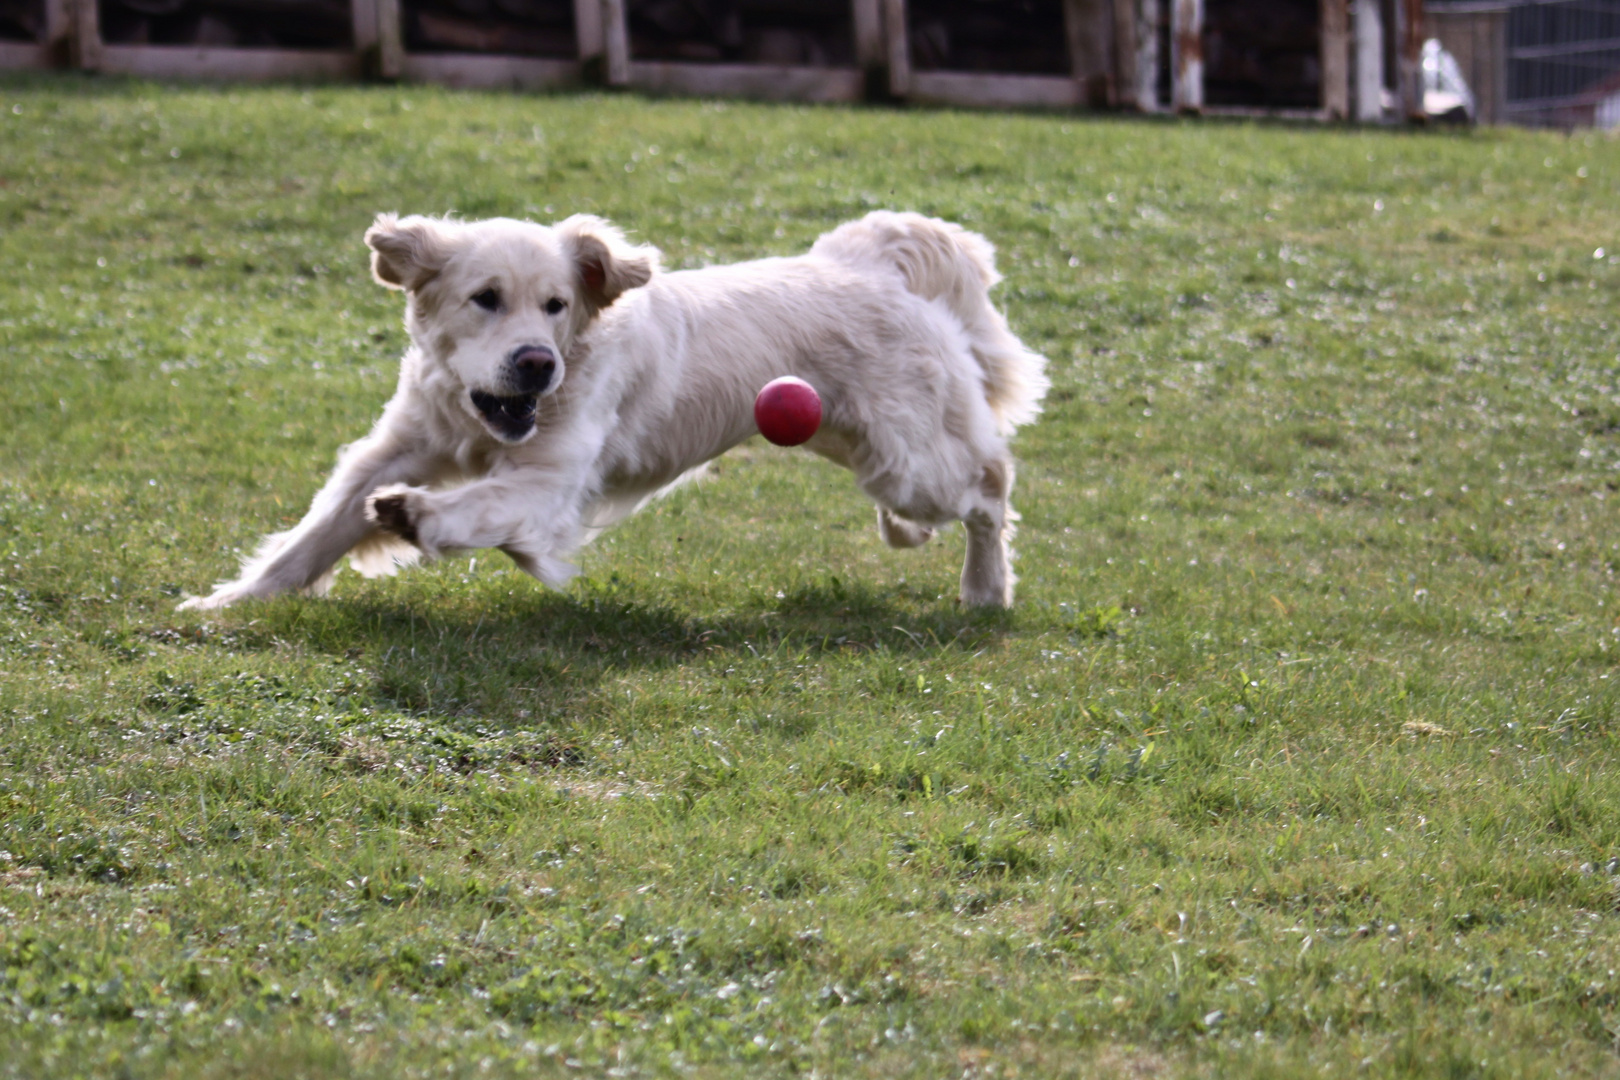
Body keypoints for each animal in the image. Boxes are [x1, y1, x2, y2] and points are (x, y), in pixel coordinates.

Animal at [183, 210, 1049, 612]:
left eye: (557, 304)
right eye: (484, 298)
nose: (537, 362)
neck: (477, 416)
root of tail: (867, 257)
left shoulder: (552, 477)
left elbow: (477, 506)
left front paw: (418, 517)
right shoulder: (396, 445)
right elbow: (314, 533)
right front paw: (229, 606)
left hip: (910, 459)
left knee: (990, 486)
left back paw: (986, 588)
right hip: (849, 439)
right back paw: (911, 540)